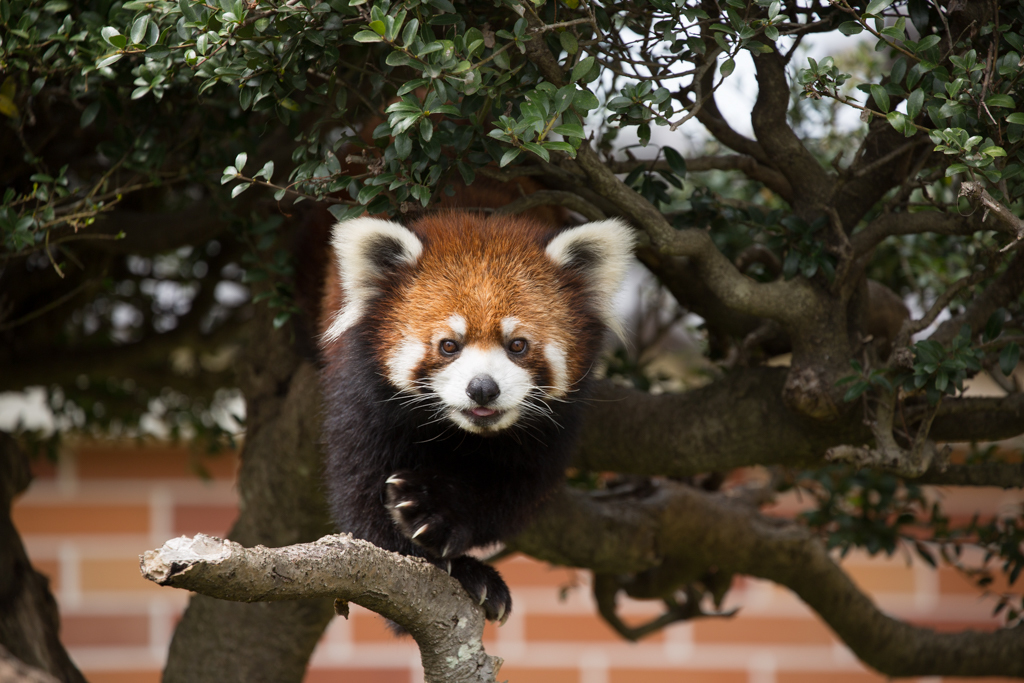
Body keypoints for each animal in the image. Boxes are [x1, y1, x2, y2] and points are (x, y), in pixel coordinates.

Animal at [319, 209, 634, 626]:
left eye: (517, 345)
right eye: (448, 345)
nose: (483, 388)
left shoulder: (553, 429)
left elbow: (510, 488)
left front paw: (435, 513)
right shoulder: (364, 399)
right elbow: (363, 503)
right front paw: (455, 570)